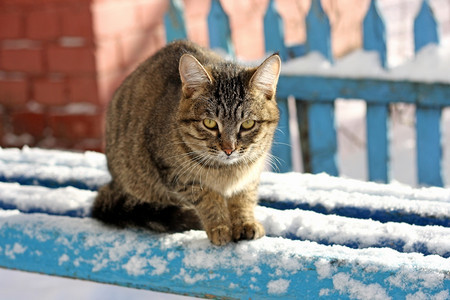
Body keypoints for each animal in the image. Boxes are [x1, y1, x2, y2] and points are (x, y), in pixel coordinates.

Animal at [91, 39, 280, 246]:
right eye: (210, 123)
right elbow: (209, 199)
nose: (229, 149)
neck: (227, 171)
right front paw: (219, 227)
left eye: (247, 124)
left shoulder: (251, 175)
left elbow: (244, 198)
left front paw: (245, 222)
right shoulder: (178, 176)